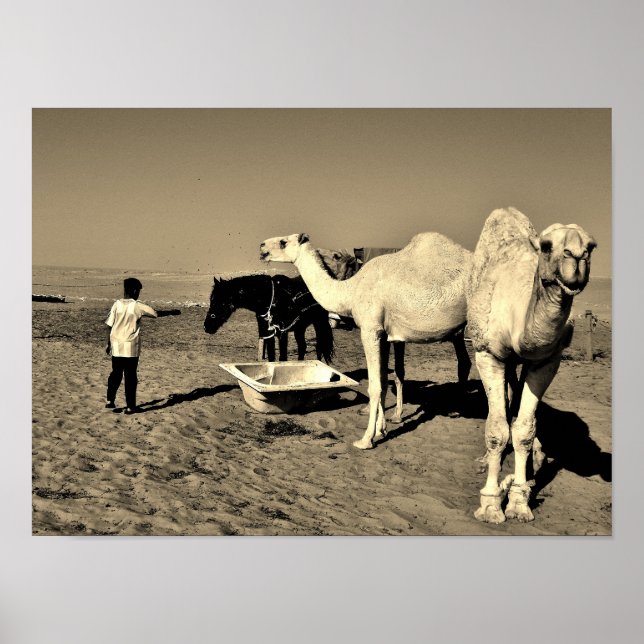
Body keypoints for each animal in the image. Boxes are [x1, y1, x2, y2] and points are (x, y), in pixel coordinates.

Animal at [260, 231, 472, 449]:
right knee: (465, 362)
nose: (262, 246)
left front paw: (366, 439)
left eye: (283, 242)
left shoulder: (370, 330)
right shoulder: (384, 335)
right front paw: (381, 430)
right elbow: (384, 380)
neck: (352, 289)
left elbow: (374, 386)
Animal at [466, 207, 596, 524]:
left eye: (591, 246)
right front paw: (490, 504)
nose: (577, 257)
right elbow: (496, 429)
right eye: (547, 245)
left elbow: (524, 430)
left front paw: (518, 500)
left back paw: (535, 459)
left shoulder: (546, 360)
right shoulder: (487, 353)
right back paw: (487, 460)